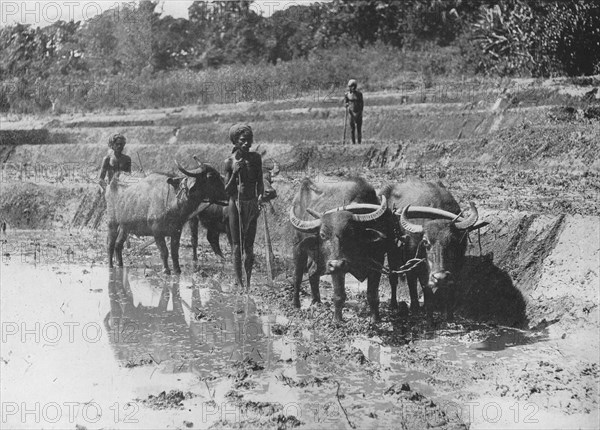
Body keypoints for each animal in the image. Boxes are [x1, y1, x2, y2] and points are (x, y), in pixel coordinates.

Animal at [288, 176, 392, 320]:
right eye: (322, 235)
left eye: (350, 232)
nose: (337, 264)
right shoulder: (336, 269)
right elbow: (339, 295)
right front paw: (337, 320)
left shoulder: (377, 261)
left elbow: (372, 295)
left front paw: (375, 319)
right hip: (297, 247)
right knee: (297, 276)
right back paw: (296, 305)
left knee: (312, 271)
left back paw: (316, 301)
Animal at [380, 180, 482, 320]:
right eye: (426, 242)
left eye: (452, 242)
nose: (440, 277)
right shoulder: (412, 261)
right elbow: (417, 283)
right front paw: (418, 309)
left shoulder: (456, 266)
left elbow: (450, 288)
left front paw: (449, 314)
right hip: (392, 251)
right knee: (394, 277)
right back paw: (394, 304)